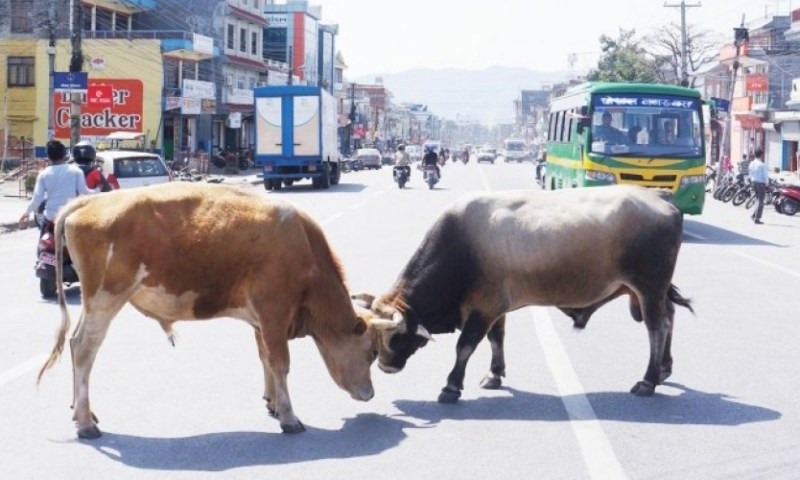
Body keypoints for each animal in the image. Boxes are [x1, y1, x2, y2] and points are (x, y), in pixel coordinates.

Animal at [39, 182, 382, 436]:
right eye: (371, 353)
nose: (370, 394)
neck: (305, 248)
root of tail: (88, 202)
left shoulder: (260, 321)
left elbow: (265, 358)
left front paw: (272, 402)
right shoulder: (274, 312)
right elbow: (281, 363)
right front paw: (289, 418)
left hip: (93, 303)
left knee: (74, 342)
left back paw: (81, 413)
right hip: (105, 299)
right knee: (85, 349)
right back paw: (86, 424)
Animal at [356, 186, 692, 404]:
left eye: (396, 336)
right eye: (375, 337)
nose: (386, 367)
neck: (460, 248)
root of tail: (661, 197)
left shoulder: (484, 309)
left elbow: (465, 346)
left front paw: (452, 386)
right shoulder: (496, 308)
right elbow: (496, 339)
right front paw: (495, 375)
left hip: (649, 288)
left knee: (657, 328)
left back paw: (648, 380)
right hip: (651, 291)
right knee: (670, 316)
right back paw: (663, 369)